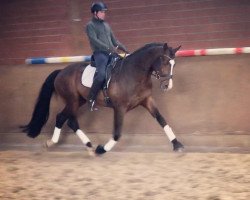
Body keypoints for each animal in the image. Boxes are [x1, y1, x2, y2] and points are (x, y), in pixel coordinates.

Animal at [22, 42, 184, 155]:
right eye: (165, 62)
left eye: (174, 64)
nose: (167, 85)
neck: (134, 74)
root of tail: (61, 71)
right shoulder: (119, 107)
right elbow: (117, 133)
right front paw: (102, 149)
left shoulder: (147, 100)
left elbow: (162, 120)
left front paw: (177, 145)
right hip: (72, 100)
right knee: (62, 118)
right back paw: (54, 142)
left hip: (78, 101)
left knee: (69, 121)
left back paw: (88, 146)